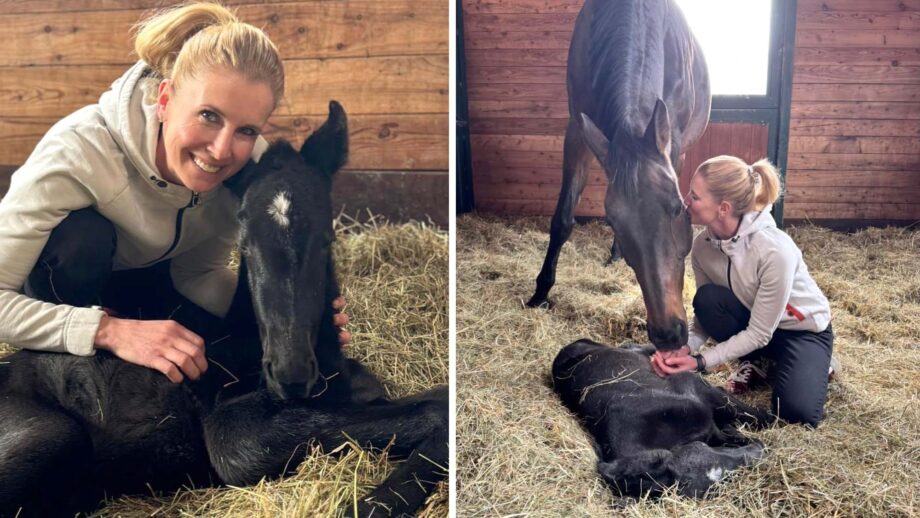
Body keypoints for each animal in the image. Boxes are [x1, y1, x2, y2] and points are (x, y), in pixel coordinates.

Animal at [0, 101, 447, 517]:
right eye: (244, 244)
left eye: (327, 239)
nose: (292, 374)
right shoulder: (232, 431)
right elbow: (433, 411)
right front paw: (373, 502)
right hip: (50, 434)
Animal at [526, 0, 711, 351]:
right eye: (612, 221)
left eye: (678, 209)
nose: (668, 335)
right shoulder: (578, 131)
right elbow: (562, 220)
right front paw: (541, 292)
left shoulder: (674, 145)